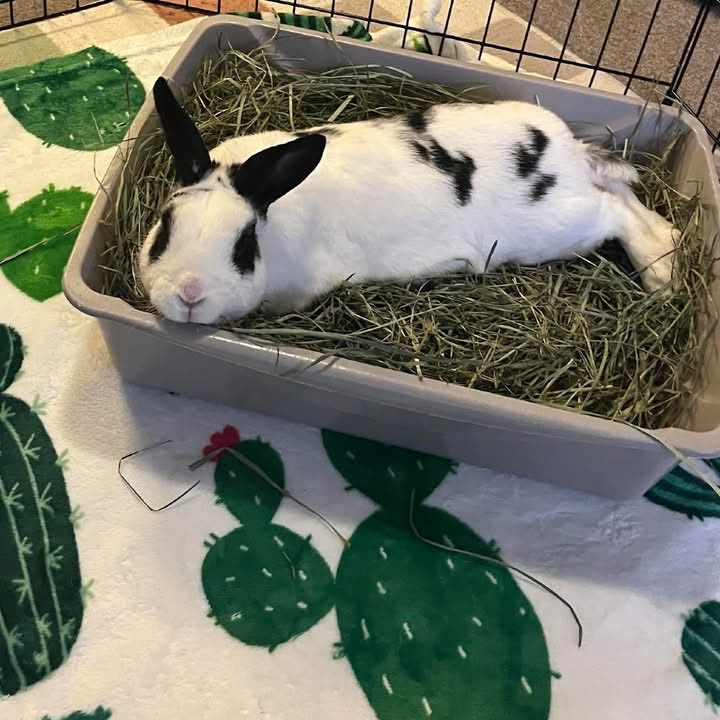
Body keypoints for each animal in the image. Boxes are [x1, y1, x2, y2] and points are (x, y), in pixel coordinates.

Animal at [138, 77, 677, 325]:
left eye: (244, 246)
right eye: (163, 229)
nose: (190, 294)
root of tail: (568, 151)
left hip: (559, 227)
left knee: (615, 212)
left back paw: (662, 283)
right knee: (632, 201)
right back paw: (666, 265)